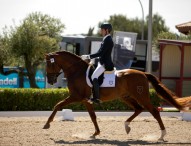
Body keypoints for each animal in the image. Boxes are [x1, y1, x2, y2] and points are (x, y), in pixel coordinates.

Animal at [43, 50, 191, 141]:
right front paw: (96, 133)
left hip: (141, 96)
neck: (76, 71)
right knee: (139, 109)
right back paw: (127, 126)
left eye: (49, 65)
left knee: (154, 111)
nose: (50, 81)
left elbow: (57, 105)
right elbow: (93, 116)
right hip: (126, 97)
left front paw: (47, 124)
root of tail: (143, 73)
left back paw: (161, 135)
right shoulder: (86, 100)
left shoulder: (76, 96)